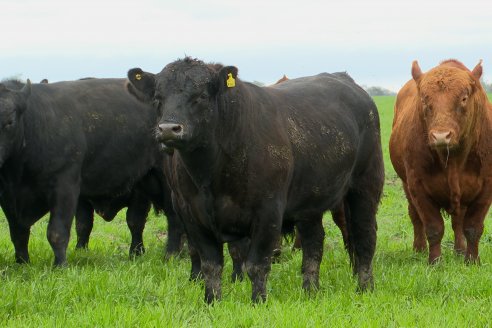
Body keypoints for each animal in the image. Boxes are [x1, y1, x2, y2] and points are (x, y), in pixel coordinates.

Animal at [0, 78, 184, 266]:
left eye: (9, 122)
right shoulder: (8, 197)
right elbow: (19, 234)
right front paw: (22, 262)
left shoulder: (65, 187)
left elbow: (57, 232)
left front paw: (60, 265)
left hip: (166, 183)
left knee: (171, 219)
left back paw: (169, 255)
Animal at [129, 57, 386, 304]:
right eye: (158, 98)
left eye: (201, 96)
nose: (168, 129)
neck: (211, 174)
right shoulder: (192, 214)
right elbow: (211, 266)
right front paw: (211, 302)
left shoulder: (268, 212)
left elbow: (256, 265)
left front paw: (258, 302)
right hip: (310, 200)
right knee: (313, 244)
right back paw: (310, 291)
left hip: (365, 184)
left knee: (364, 236)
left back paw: (365, 288)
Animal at [390, 59, 490, 264]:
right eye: (424, 99)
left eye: (464, 98)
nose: (441, 136)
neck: (453, 161)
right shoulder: (417, 186)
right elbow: (433, 227)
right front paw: (435, 261)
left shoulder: (486, 188)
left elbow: (473, 227)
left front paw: (471, 260)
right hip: (405, 185)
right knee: (415, 217)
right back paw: (419, 249)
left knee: (458, 221)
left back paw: (459, 250)